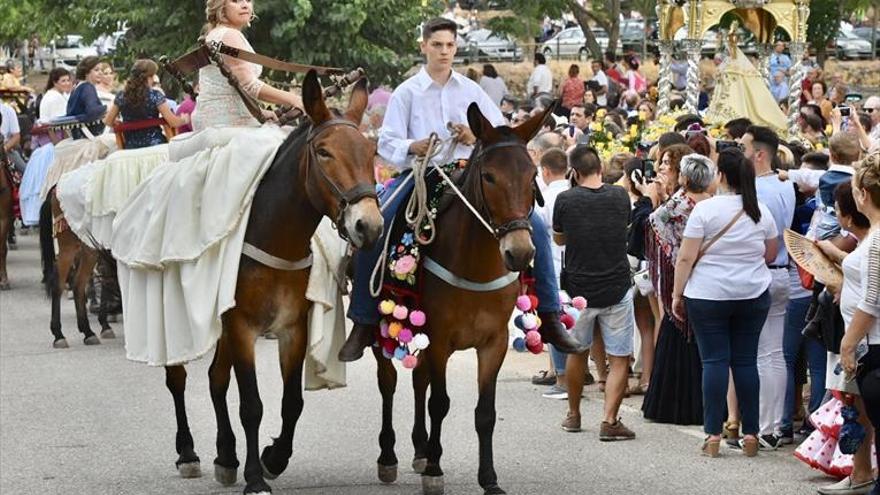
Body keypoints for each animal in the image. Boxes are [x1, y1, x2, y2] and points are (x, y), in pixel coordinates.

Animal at [160, 70, 384, 495]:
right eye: (324, 152)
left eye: (371, 151)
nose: (369, 226)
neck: (273, 235)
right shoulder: (242, 326)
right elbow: (252, 405)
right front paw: (255, 477)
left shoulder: (292, 327)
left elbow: (291, 402)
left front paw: (273, 458)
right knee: (178, 378)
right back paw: (187, 452)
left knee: (215, 379)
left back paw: (225, 455)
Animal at [372, 102, 556, 494]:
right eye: (489, 176)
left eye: (533, 174)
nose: (520, 252)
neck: (475, 266)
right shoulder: (440, 338)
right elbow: (440, 403)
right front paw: (435, 471)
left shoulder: (494, 341)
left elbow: (484, 413)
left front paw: (489, 478)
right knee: (389, 383)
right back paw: (389, 456)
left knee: (418, 381)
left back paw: (420, 449)